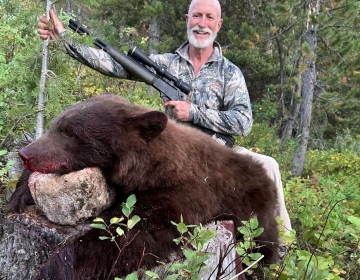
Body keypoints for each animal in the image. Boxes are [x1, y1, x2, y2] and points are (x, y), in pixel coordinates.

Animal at [9, 93, 278, 278]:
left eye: (71, 133)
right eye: (55, 125)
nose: (25, 154)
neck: (152, 165)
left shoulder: (185, 193)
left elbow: (131, 235)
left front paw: (55, 268)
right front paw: (20, 194)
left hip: (255, 221)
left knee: (264, 251)